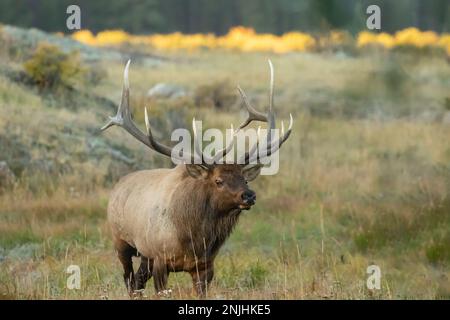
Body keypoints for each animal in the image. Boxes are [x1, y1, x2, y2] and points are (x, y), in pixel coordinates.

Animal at [100, 58, 294, 296]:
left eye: (245, 179)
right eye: (218, 181)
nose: (249, 195)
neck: (193, 239)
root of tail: (118, 185)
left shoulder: (205, 266)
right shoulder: (160, 258)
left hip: (145, 255)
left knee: (137, 281)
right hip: (121, 242)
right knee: (128, 279)